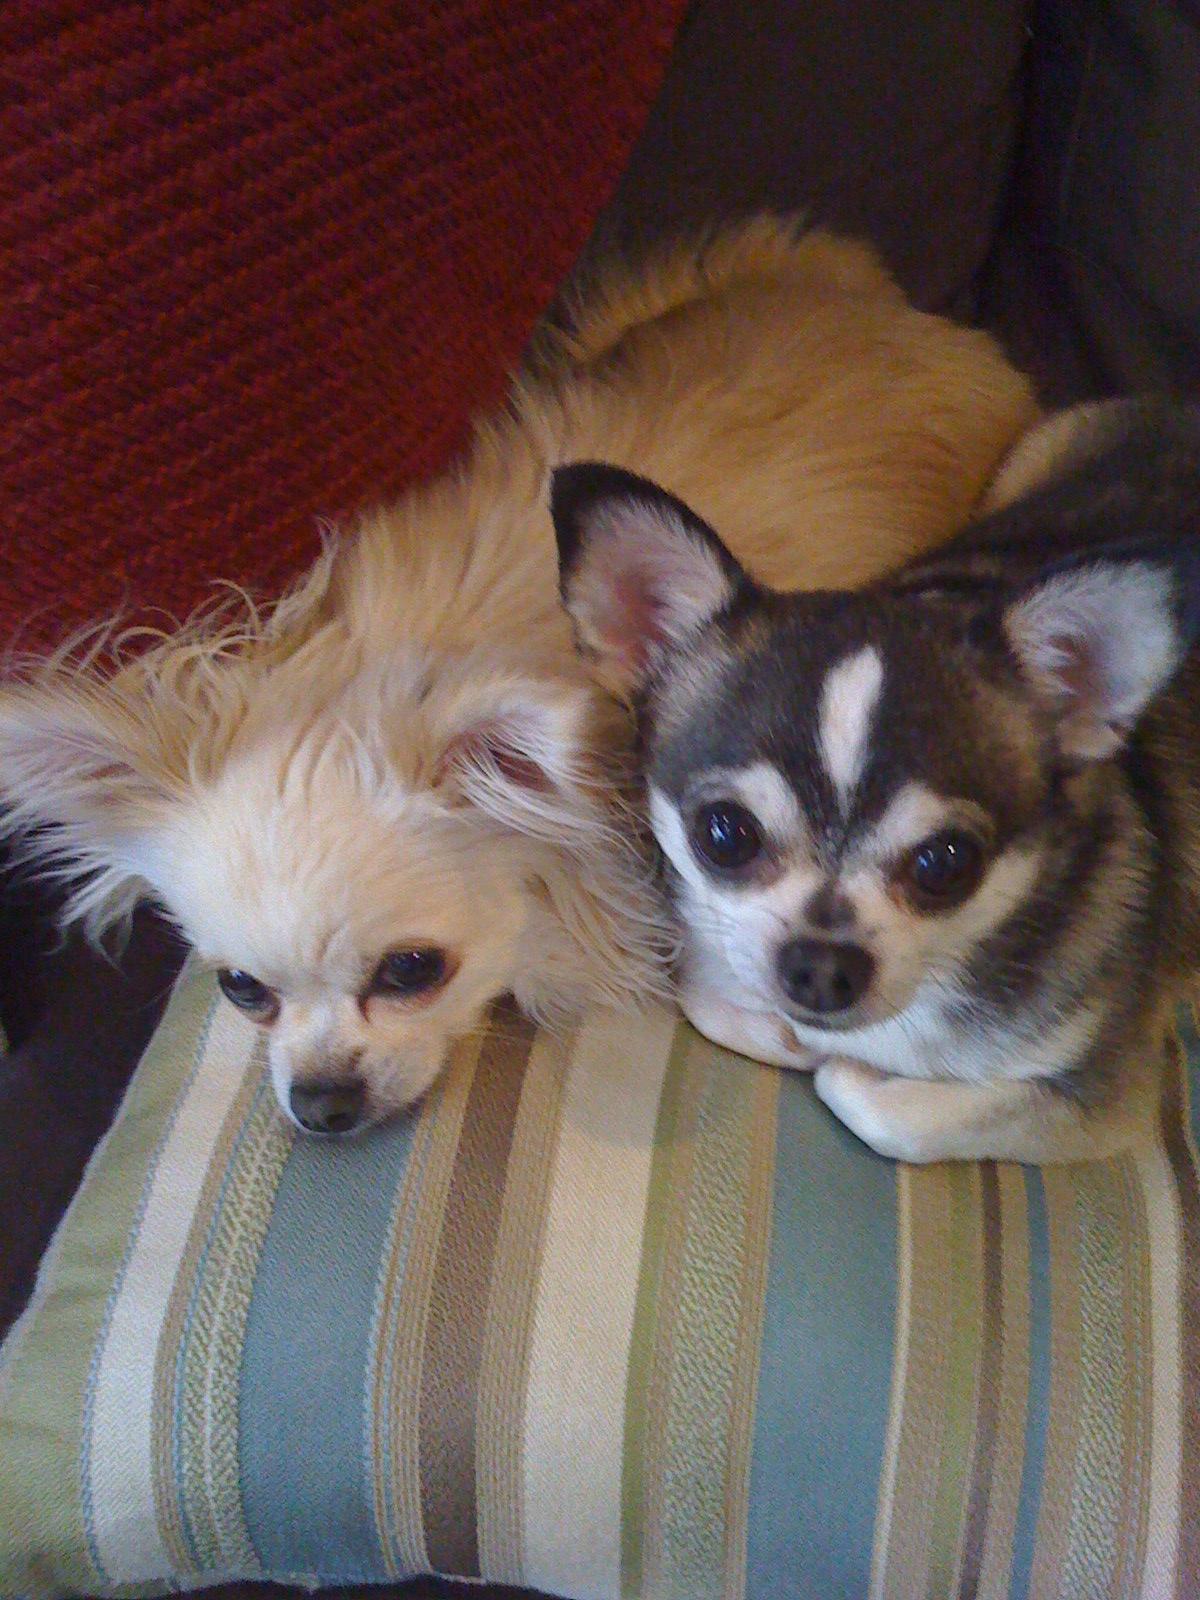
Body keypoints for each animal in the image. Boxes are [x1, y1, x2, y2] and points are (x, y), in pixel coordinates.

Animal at [553, 398, 1200, 1164]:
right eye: (725, 834)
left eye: (946, 863)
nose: (821, 968)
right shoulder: (709, 948)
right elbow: (708, 993)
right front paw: (790, 1035)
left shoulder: (1103, 1099)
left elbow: (877, 1105)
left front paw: (846, 1064)